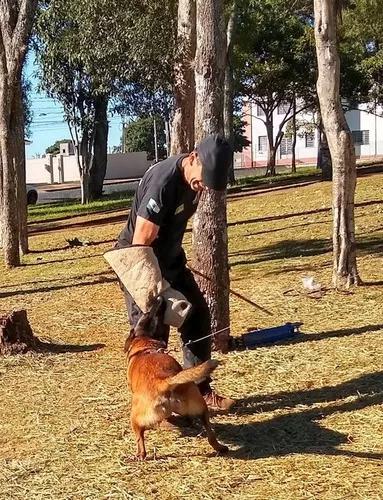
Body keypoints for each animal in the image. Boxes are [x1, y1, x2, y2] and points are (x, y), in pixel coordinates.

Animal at [125, 298, 228, 458]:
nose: (159, 299)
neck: (145, 347)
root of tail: (165, 382)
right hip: (200, 406)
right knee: (209, 432)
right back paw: (219, 447)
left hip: (135, 418)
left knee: (140, 441)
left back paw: (139, 455)